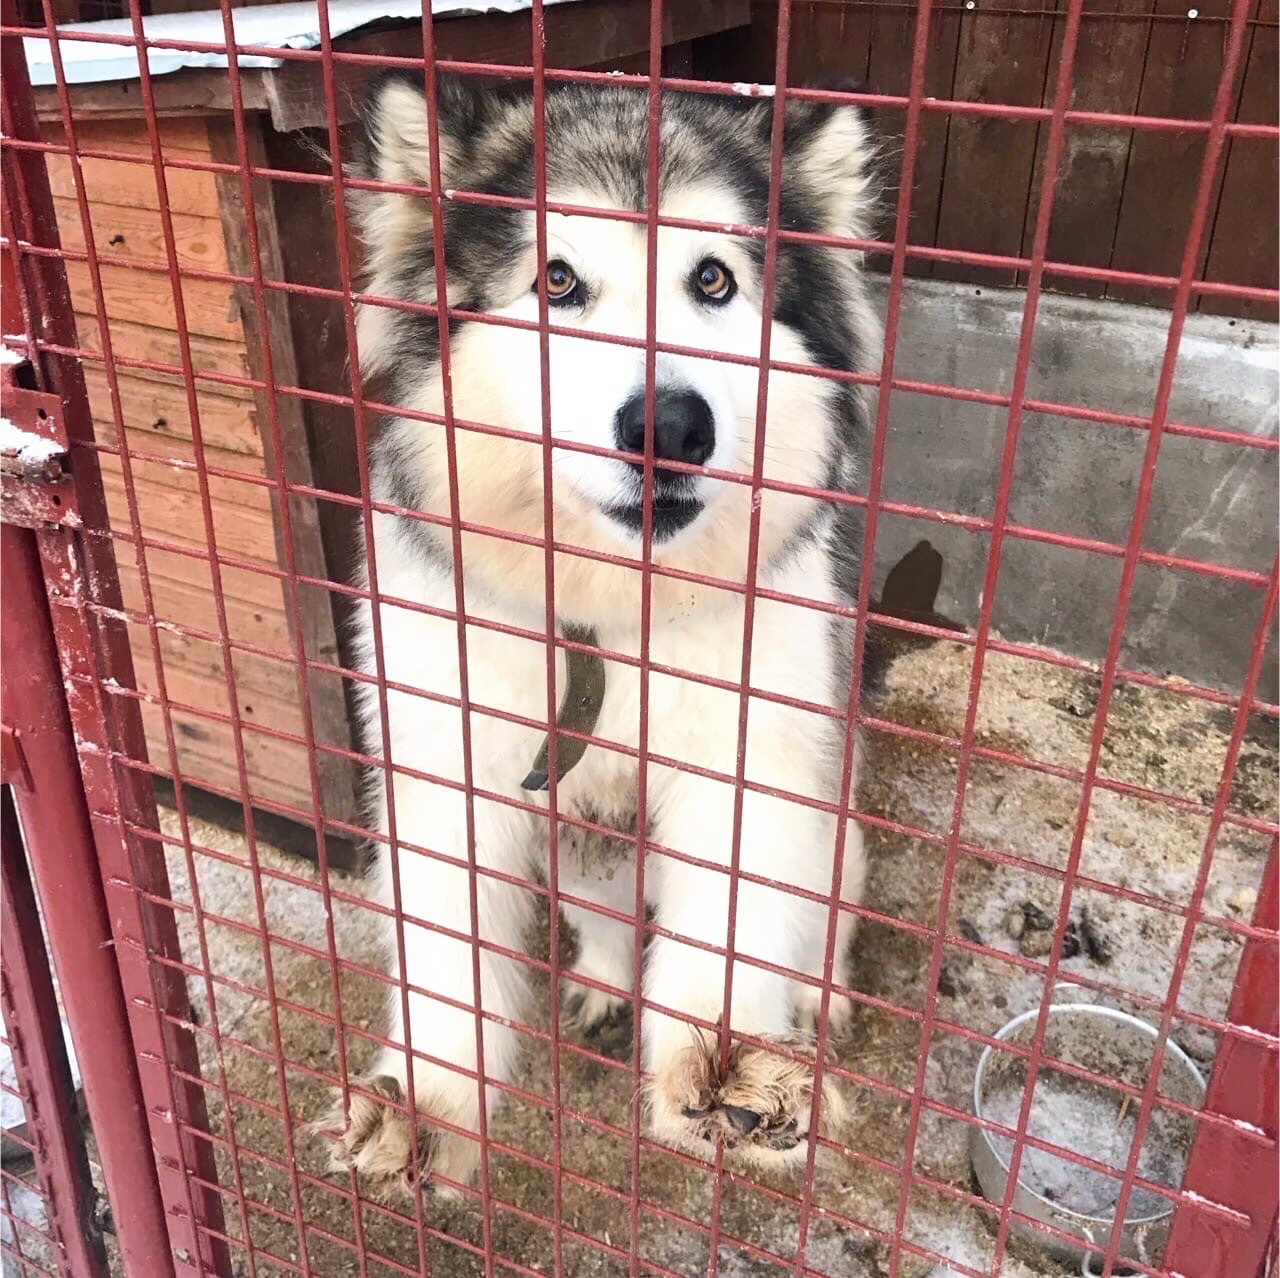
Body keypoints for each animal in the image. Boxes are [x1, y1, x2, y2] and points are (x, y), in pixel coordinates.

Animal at [330, 72, 880, 1198]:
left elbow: (734, 930)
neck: (608, 618)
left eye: (712, 278)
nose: (668, 427)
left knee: (825, 917)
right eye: (557, 280)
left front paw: (730, 1062)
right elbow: (446, 955)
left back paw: (817, 998)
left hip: (835, 819)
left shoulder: (751, 771)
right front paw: (429, 1105)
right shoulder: (446, 770)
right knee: (613, 927)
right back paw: (605, 982)